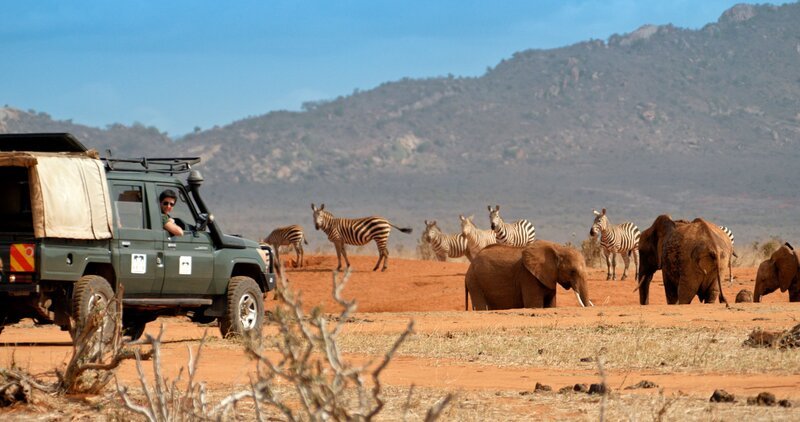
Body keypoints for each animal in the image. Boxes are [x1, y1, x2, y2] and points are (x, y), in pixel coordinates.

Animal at [464, 241, 592, 310]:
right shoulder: (527, 276)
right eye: (572, 271)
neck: (558, 248)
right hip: (474, 282)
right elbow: (534, 305)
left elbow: (551, 305)